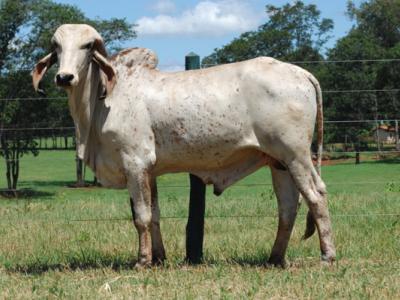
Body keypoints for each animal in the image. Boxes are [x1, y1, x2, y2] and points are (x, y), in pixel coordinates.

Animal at [32, 24, 336, 268]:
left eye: (87, 46)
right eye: (57, 46)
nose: (65, 77)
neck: (103, 99)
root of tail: (299, 72)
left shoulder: (135, 163)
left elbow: (141, 217)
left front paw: (142, 261)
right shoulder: (149, 172)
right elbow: (154, 215)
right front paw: (159, 257)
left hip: (296, 155)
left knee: (316, 195)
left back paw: (327, 257)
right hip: (278, 162)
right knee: (288, 207)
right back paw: (275, 258)